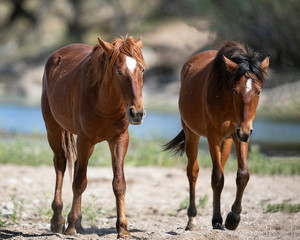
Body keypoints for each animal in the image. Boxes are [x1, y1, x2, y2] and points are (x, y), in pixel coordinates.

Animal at [40, 35, 145, 238]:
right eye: (119, 71)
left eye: (142, 69)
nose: (137, 113)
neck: (105, 101)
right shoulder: (85, 139)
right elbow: (79, 183)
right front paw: (71, 227)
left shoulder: (119, 139)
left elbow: (119, 183)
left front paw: (123, 228)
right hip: (54, 129)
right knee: (60, 165)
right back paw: (58, 220)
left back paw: (78, 221)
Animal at [164, 41, 270, 231]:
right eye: (235, 90)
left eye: (258, 91)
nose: (245, 131)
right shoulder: (213, 135)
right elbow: (217, 178)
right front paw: (219, 219)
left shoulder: (239, 135)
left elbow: (242, 175)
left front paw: (233, 218)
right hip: (192, 134)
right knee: (193, 172)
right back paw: (192, 219)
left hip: (226, 141)